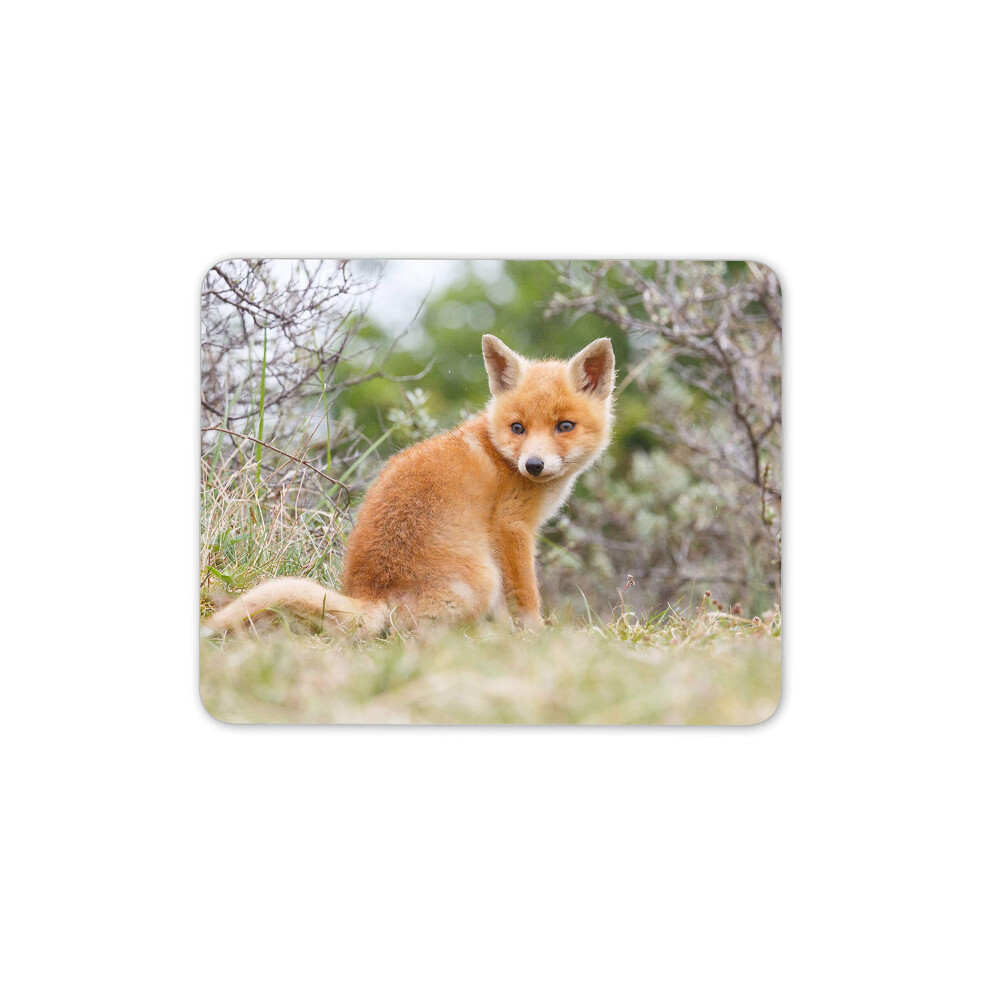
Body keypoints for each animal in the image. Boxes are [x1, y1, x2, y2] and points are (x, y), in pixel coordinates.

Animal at [205, 334, 616, 637]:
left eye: (564, 426)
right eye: (518, 428)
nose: (533, 465)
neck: (500, 456)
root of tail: (371, 592)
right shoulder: (511, 529)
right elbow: (526, 596)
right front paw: (536, 633)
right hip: (483, 578)